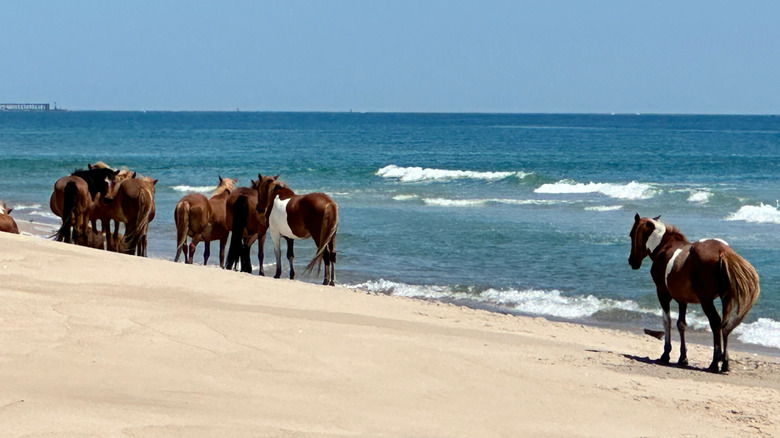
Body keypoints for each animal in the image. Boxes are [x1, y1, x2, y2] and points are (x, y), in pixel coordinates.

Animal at [628, 214, 760, 373]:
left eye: (631, 234)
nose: (632, 261)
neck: (665, 247)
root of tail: (723, 251)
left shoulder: (662, 293)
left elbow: (667, 321)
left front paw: (666, 354)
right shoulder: (682, 299)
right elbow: (681, 324)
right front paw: (683, 358)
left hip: (706, 300)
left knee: (715, 323)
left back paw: (715, 362)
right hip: (726, 298)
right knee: (725, 325)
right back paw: (725, 363)